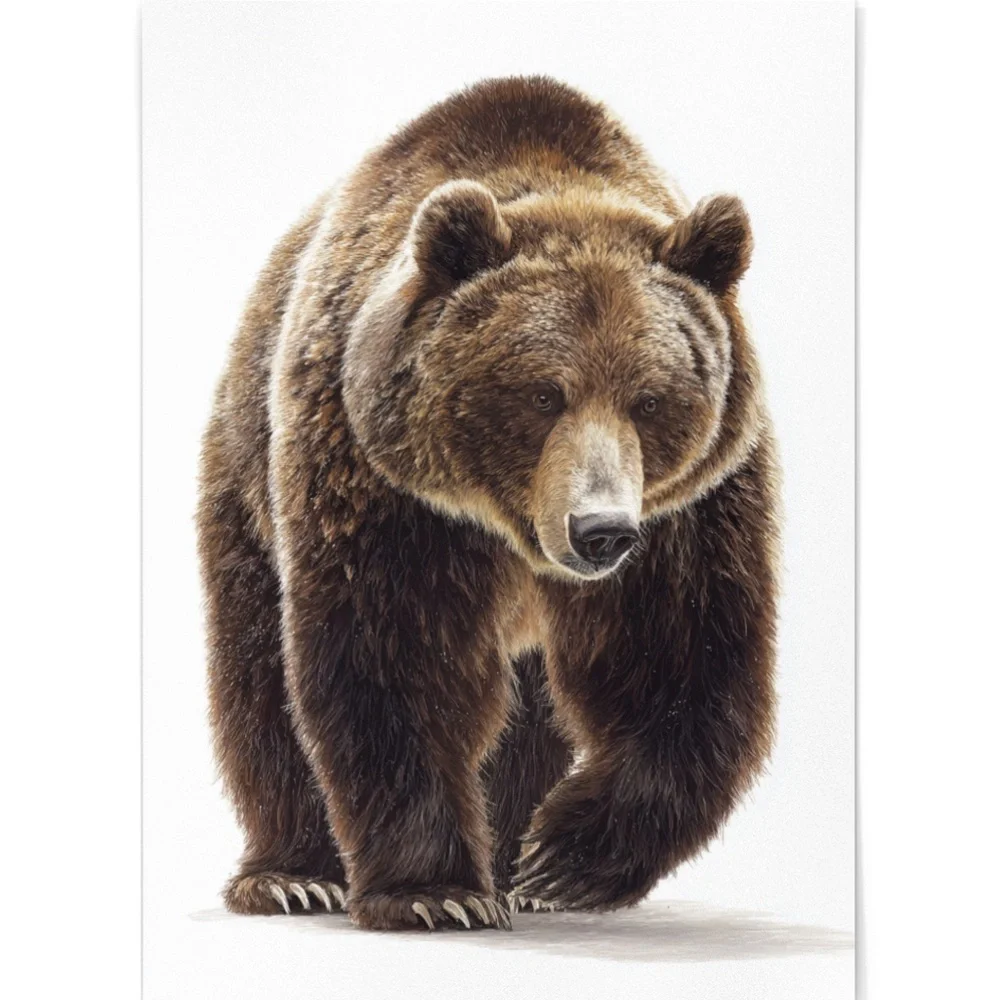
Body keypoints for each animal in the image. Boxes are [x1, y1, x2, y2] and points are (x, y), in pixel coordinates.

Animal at [197, 75, 780, 932]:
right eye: (542, 394)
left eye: (649, 399)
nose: (600, 532)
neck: (511, 528)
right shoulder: (387, 490)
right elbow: (395, 655)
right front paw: (432, 891)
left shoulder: (688, 511)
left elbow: (680, 657)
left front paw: (561, 861)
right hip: (247, 481)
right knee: (257, 678)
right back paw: (290, 875)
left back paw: (509, 866)